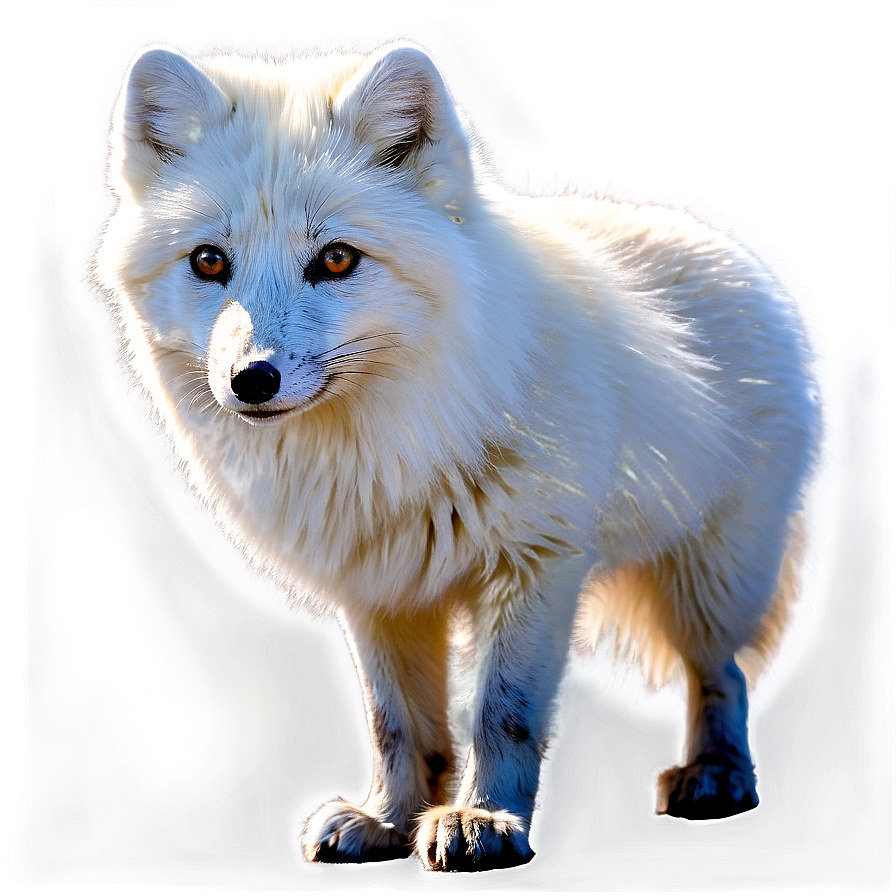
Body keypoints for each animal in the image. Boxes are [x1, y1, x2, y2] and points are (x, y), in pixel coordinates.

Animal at [93, 39, 831, 872]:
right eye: (210, 262)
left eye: (337, 259)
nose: (251, 379)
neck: (382, 455)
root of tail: (730, 243)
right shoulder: (377, 591)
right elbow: (396, 725)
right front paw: (389, 819)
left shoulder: (538, 566)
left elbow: (503, 714)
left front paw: (483, 818)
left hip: (710, 578)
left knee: (724, 673)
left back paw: (718, 774)